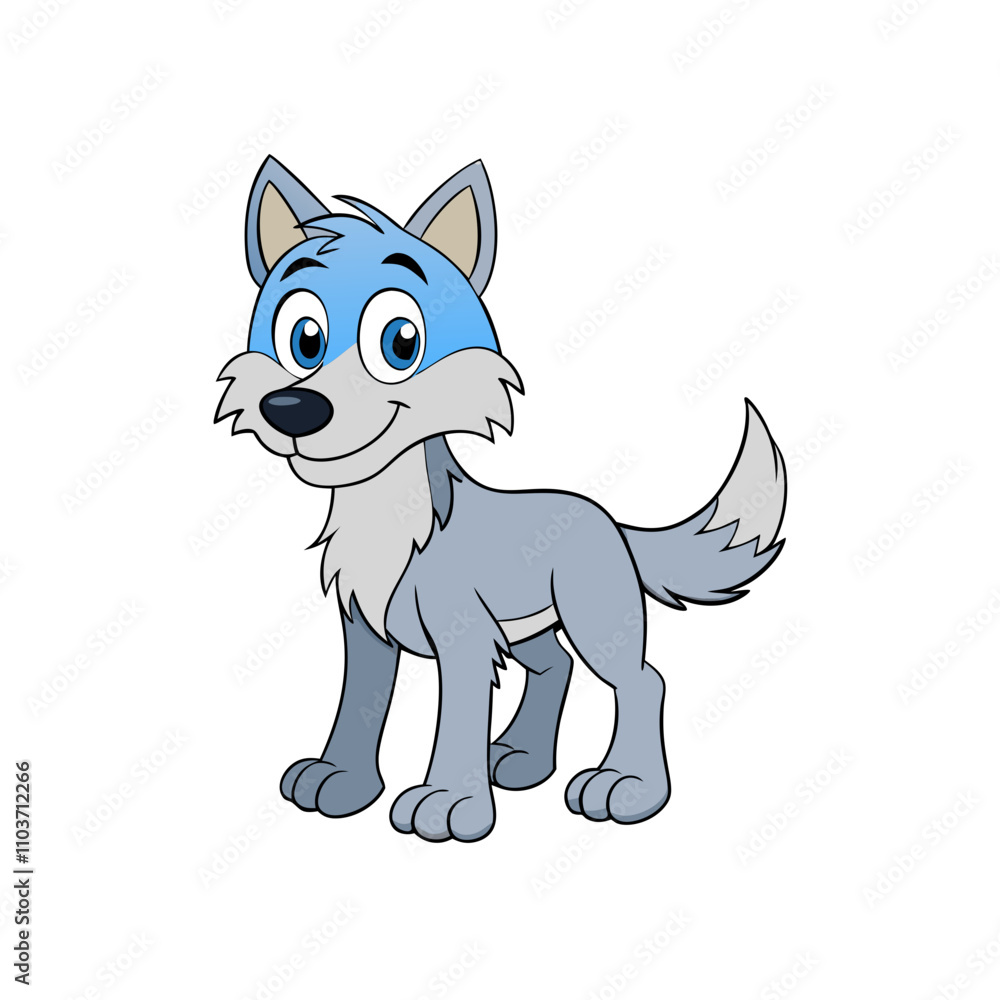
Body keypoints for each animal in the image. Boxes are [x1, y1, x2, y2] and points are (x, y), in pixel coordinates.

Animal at [216, 156, 787, 843]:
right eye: (303, 337)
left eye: (400, 341)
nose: (295, 408)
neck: (390, 520)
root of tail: (608, 517)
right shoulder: (367, 630)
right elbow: (358, 705)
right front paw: (343, 780)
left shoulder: (464, 638)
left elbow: (457, 719)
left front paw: (448, 802)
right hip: (527, 626)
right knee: (555, 667)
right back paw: (520, 757)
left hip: (594, 617)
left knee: (642, 680)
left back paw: (626, 786)